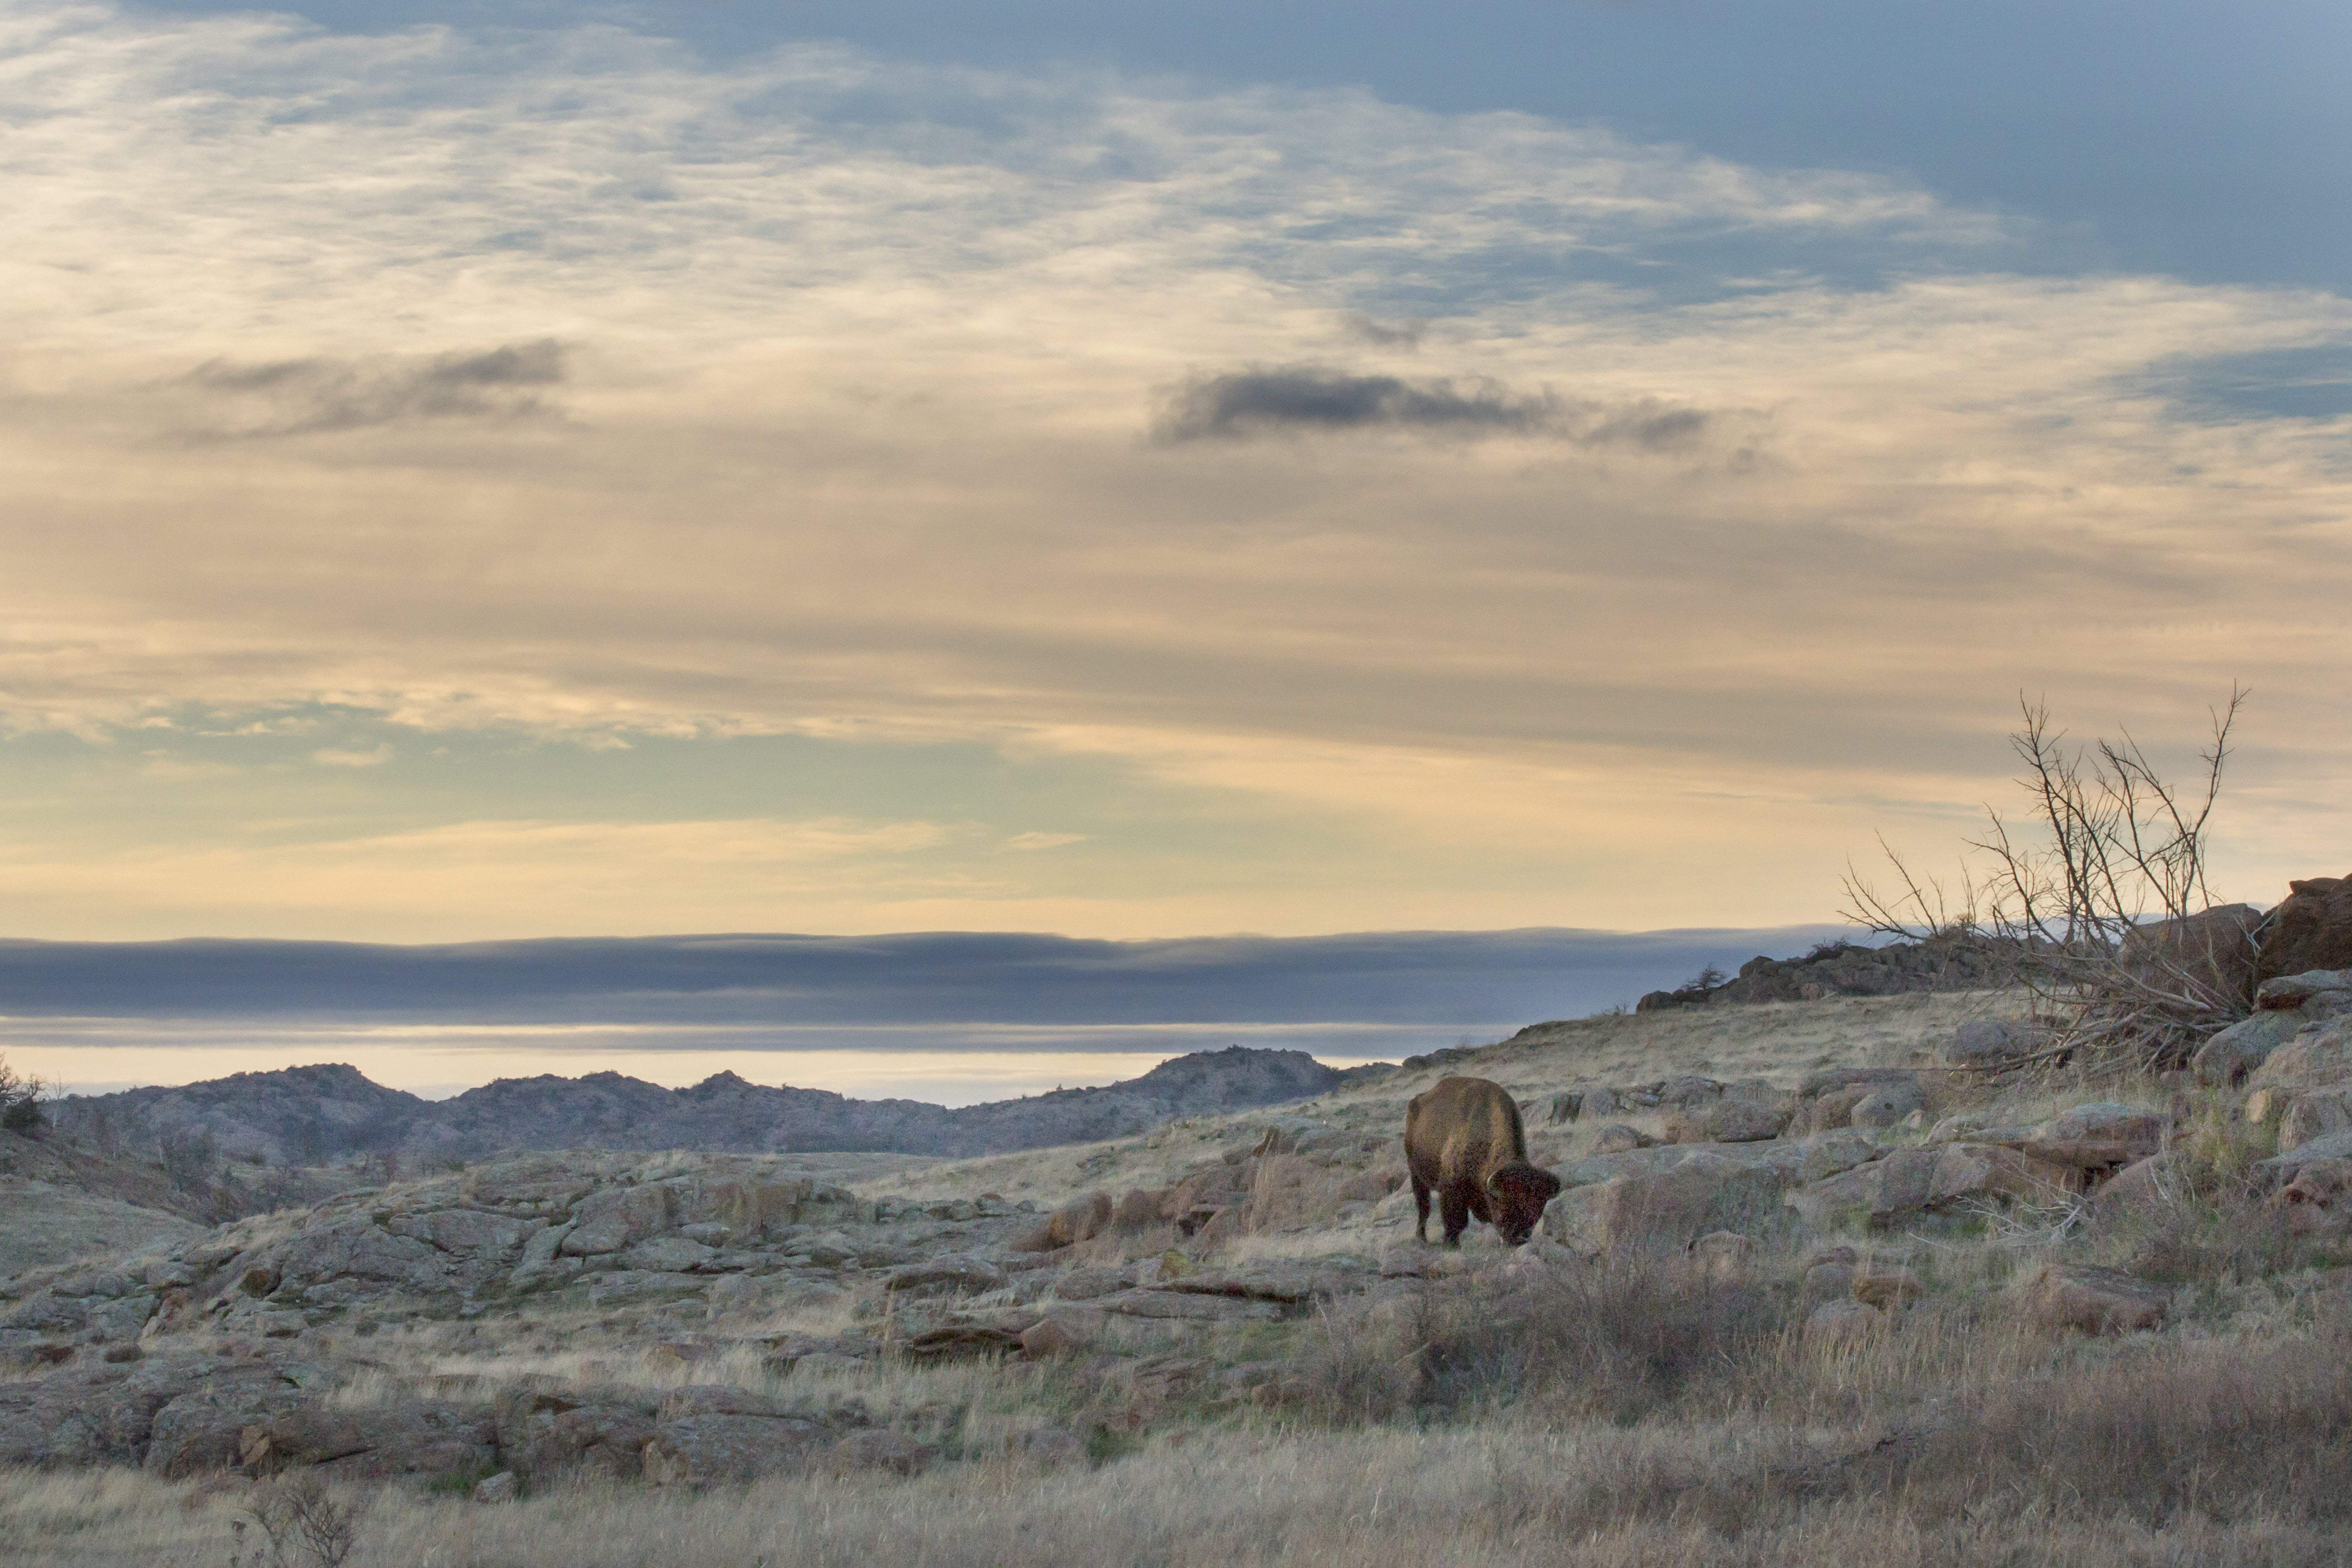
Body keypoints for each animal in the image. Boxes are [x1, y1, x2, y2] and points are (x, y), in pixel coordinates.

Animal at [1402, 1072, 1552, 1241]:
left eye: (1537, 1215)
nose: (1518, 1240)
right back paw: (1421, 1238)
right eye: (1503, 1208)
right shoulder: (1451, 1191)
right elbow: (1455, 1225)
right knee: (1424, 1208)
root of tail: (1416, 1101)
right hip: (1416, 1174)